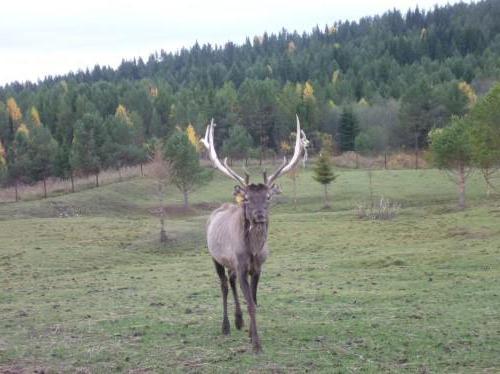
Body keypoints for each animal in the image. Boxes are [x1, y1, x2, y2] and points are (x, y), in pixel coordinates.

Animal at [200, 115, 308, 352]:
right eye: (248, 198)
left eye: (268, 197)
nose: (259, 215)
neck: (253, 251)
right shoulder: (241, 266)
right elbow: (250, 303)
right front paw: (257, 344)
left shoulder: (258, 267)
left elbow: (256, 301)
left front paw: (250, 334)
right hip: (215, 257)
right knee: (223, 285)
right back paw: (226, 326)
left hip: (230, 263)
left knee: (230, 282)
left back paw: (238, 321)